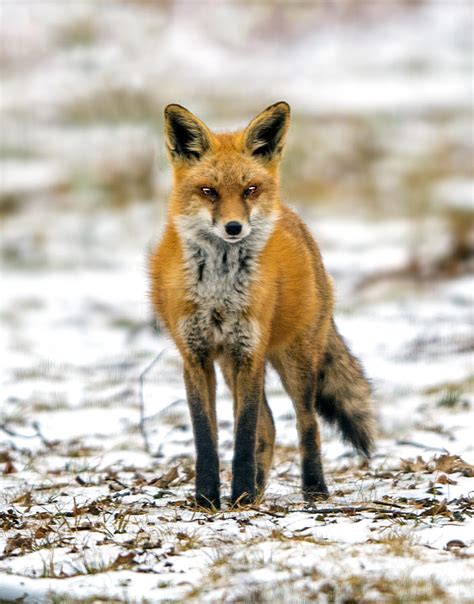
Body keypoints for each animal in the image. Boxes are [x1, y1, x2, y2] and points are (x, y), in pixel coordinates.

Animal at [150, 101, 376, 508]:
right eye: (208, 191)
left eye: (249, 189)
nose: (234, 227)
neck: (220, 291)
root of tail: (293, 216)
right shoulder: (196, 355)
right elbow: (205, 437)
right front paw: (208, 498)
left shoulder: (250, 353)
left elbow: (243, 434)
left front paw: (237, 492)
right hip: (229, 365)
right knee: (269, 425)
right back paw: (256, 491)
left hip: (295, 359)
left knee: (306, 422)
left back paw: (312, 489)